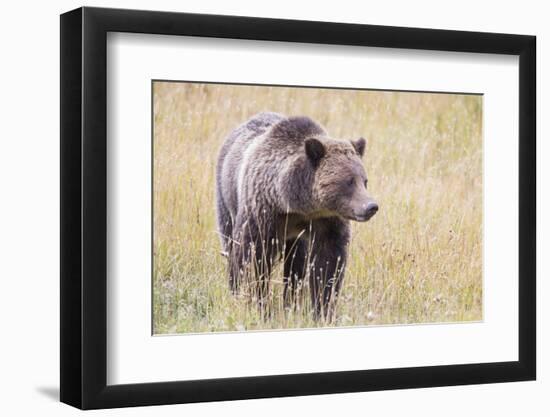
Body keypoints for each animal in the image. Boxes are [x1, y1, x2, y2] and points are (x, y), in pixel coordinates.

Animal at [216, 112, 380, 316]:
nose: (371, 206)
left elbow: (327, 264)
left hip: (296, 239)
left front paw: (323, 309)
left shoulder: (325, 222)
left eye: (364, 180)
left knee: (296, 266)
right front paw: (256, 303)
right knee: (230, 243)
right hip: (227, 198)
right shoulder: (261, 212)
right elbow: (251, 258)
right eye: (348, 181)